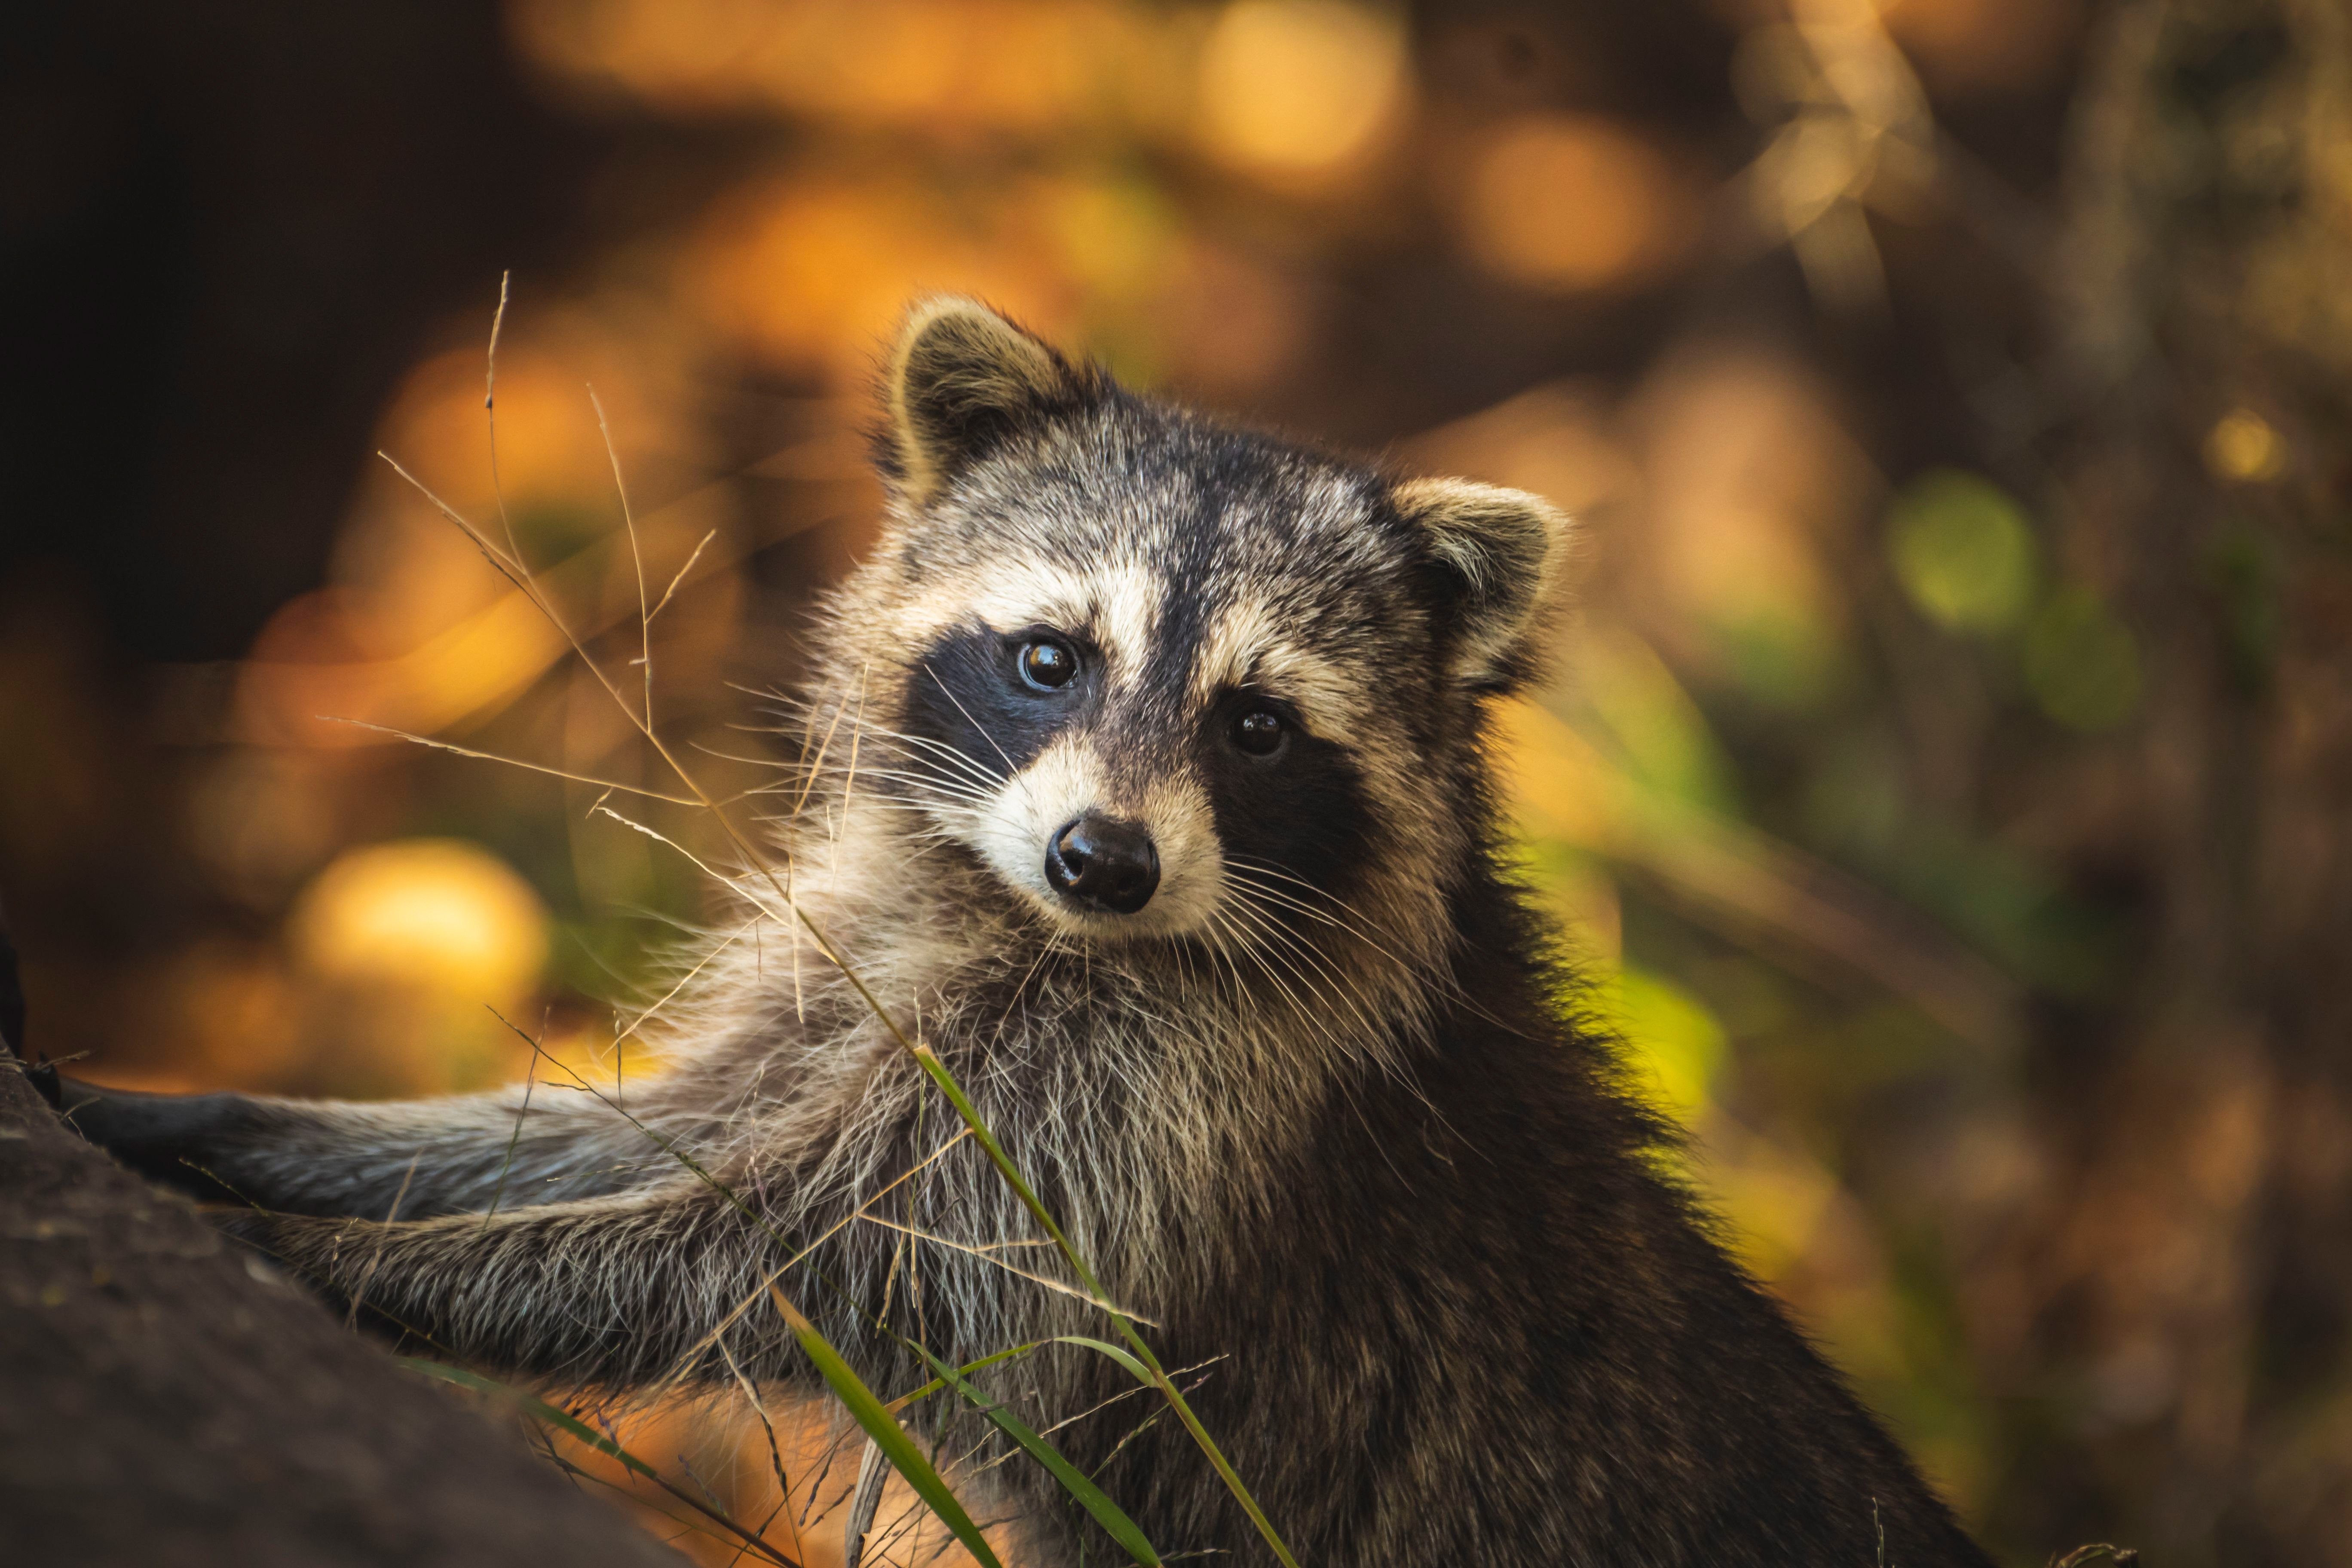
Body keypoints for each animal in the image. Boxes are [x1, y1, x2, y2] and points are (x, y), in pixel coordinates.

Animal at [56, 299, 1992, 1566]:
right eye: (1050, 656)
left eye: (1256, 726)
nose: (1103, 861)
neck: (1026, 924)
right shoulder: (867, 970)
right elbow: (640, 1139)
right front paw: (254, 1135)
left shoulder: (1173, 1103)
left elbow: (787, 1257)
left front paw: (352, 1261)